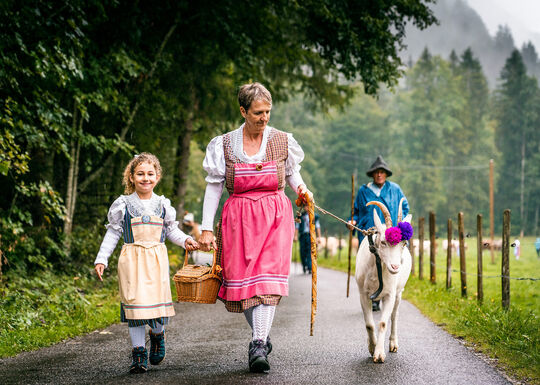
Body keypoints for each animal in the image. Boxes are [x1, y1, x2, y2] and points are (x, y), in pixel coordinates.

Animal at [356, 200, 412, 362]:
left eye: (404, 244)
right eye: (382, 242)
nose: (395, 267)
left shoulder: (389, 295)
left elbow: (382, 323)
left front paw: (379, 354)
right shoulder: (363, 294)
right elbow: (369, 324)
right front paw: (372, 347)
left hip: (399, 293)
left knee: (394, 316)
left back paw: (393, 343)